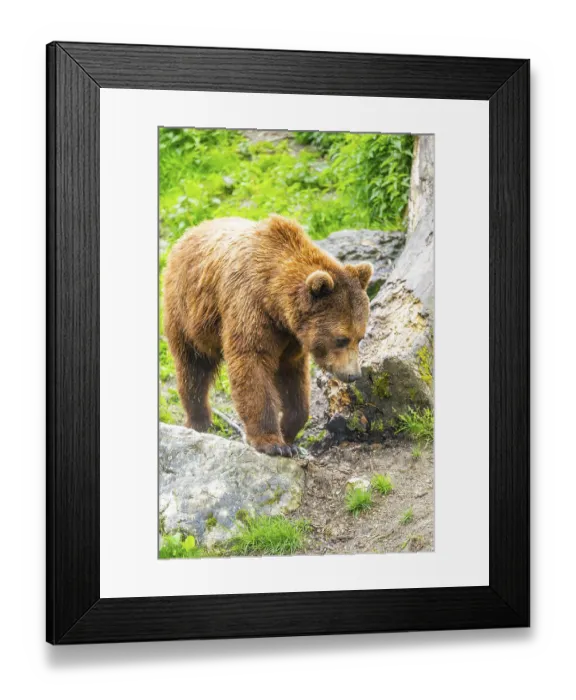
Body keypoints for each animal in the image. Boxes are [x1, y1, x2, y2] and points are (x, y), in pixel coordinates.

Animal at [163, 215, 373, 457]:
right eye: (341, 339)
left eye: (360, 337)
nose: (354, 374)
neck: (273, 298)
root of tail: (190, 231)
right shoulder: (249, 306)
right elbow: (252, 364)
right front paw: (273, 443)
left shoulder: (291, 337)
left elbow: (293, 379)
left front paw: (289, 434)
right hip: (186, 312)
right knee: (193, 368)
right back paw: (199, 421)